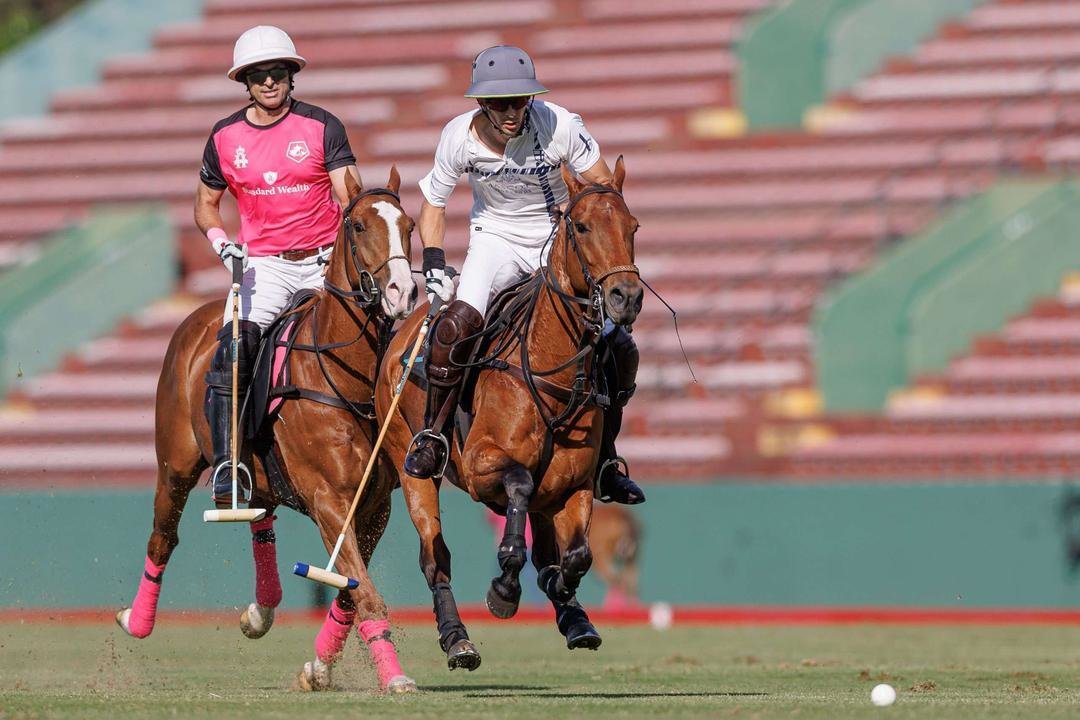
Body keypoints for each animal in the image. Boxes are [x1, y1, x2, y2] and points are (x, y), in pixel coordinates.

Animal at [117, 167, 421, 690]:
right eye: (358, 225)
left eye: (410, 226)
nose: (401, 293)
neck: (346, 374)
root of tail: (198, 317)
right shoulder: (329, 500)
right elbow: (364, 592)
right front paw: (394, 676)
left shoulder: (375, 505)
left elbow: (349, 590)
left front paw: (318, 667)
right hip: (174, 463)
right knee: (163, 536)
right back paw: (137, 621)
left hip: (256, 474)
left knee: (260, 518)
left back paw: (261, 609)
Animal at [375, 157, 639, 669]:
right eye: (581, 226)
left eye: (633, 226)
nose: (626, 297)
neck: (551, 371)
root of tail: (407, 329)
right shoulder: (482, 466)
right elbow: (517, 486)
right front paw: (502, 587)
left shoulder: (575, 485)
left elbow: (575, 557)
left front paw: (561, 595)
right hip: (410, 464)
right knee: (435, 557)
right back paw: (457, 639)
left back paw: (574, 619)